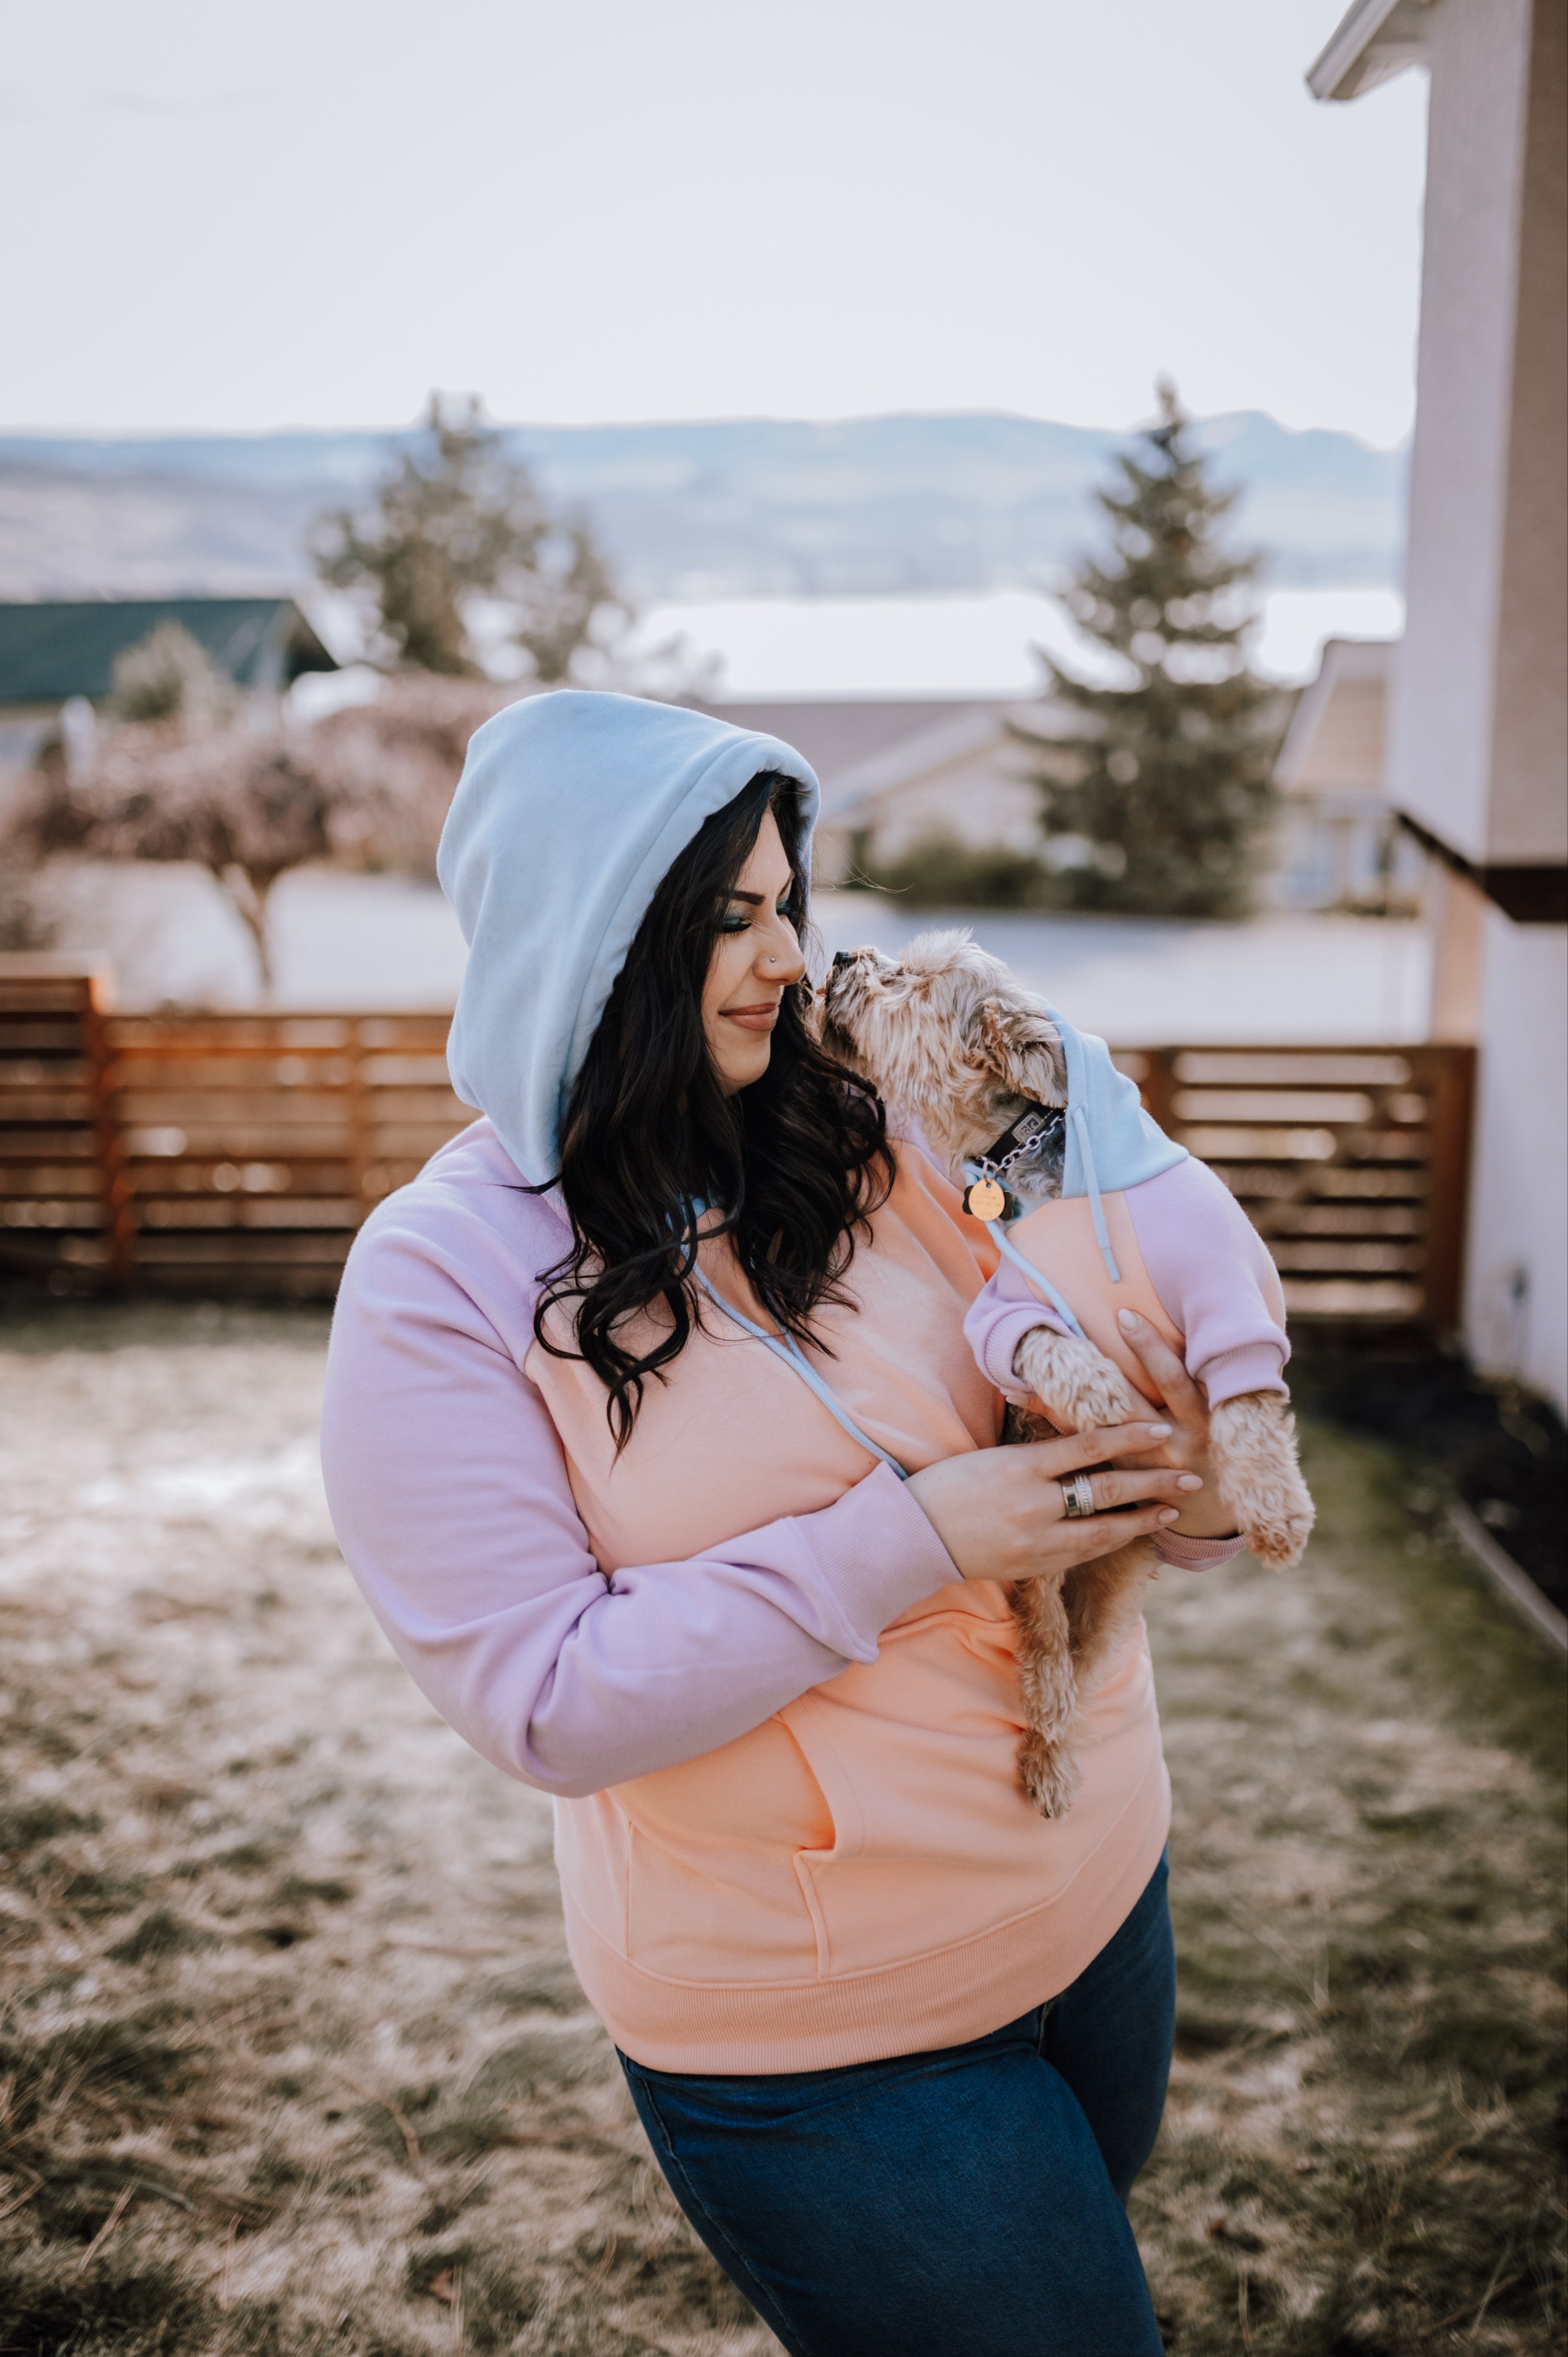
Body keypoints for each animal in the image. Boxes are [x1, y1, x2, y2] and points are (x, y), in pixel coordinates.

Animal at [825, 928, 1311, 1810]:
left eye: (910, 978)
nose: (841, 956)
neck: (1040, 1166)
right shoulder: (1005, 1313)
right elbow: (1043, 1347)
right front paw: (1106, 1397)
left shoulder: (1229, 1295)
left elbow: (1245, 1410)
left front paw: (1277, 1518)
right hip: (1041, 1573)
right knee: (1048, 1656)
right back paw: (1045, 1750)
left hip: (1113, 1591)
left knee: (1085, 1662)